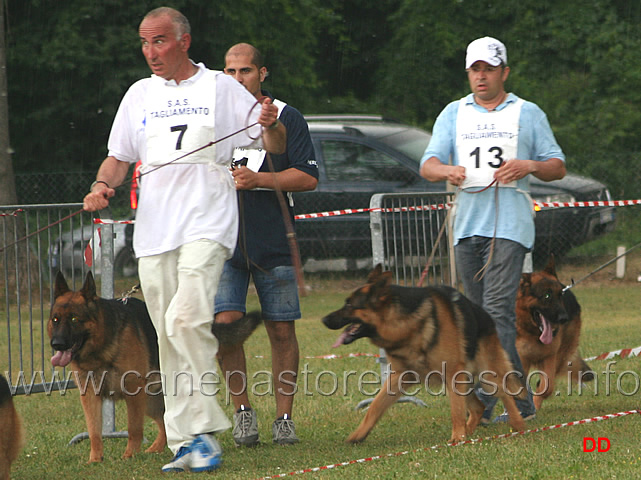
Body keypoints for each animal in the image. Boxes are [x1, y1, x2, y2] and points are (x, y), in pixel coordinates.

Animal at [47, 272, 165, 464]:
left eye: (74, 319)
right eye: (55, 320)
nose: (57, 344)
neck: (101, 347)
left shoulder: (133, 392)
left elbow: (134, 429)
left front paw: (129, 456)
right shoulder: (89, 395)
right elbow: (94, 431)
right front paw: (95, 460)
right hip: (150, 400)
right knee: (164, 421)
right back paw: (157, 448)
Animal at [322, 264, 528, 444]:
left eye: (350, 305)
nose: (324, 319)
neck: (404, 326)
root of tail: (485, 315)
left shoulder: (452, 372)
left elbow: (456, 411)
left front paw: (457, 438)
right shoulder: (399, 377)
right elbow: (375, 407)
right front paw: (359, 434)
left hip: (485, 374)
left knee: (505, 394)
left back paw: (518, 425)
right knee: (478, 407)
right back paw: (470, 431)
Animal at [512, 256, 592, 410]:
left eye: (560, 295)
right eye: (547, 296)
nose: (564, 318)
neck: (533, 334)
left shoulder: (550, 357)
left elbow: (547, 387)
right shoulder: (522, 359)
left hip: (561, 354)